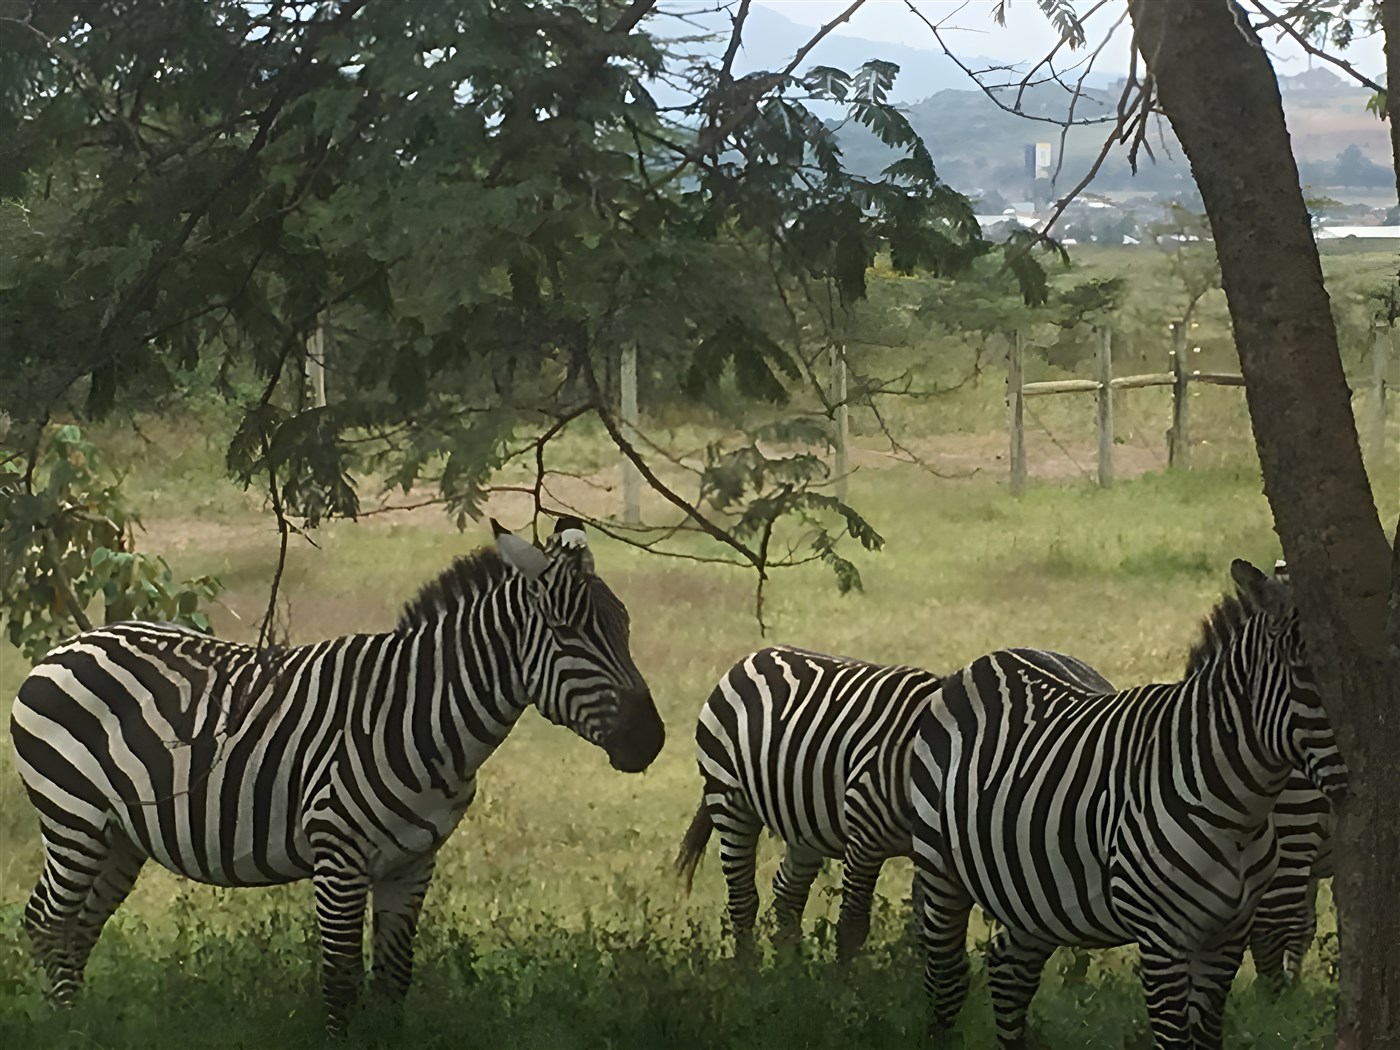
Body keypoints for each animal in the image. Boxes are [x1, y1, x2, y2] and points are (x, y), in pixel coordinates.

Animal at [11, 517, 664, 1035]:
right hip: (73, 819)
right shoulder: (338, 860)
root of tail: (65, 647)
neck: (420, 718)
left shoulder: (412, 863)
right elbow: (341, 981)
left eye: (626, 626)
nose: (651, 740)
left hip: (119, 836)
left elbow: (394, 979)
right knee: (47, 921)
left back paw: (81, 1023)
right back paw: (64, 1031)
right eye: (567, 633)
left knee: (79, 927)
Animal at [673, 645, 1113, 963]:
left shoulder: (930, 853)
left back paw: (790, 969)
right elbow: (853, 925)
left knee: (787, 892)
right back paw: (749, 974)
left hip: (804, 825)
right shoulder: (864, 841)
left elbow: (924, 929)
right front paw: (843, 994)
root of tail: (753, 656)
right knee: (743, 897)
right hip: (729, 798)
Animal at [910, 559, 1348, 1050]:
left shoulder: (1225, 937)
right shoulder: (1162, 939)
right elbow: (1177, 1037)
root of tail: (987, 660)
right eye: (1307, 672)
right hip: (941, 869)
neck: (1237, 810)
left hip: (1031, 892)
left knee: (1009, 968)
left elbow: (1208, 1036)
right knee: (946, 975)